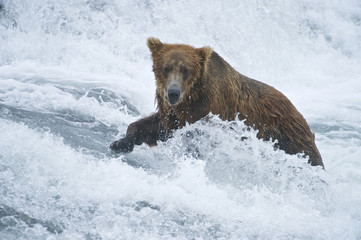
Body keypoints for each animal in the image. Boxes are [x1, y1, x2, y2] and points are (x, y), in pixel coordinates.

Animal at [110, 38, 324, 168]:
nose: (173, 93)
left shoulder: (210, 108)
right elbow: (157, 126)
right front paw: (120, 142)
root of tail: (300, 116)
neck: (193, 96)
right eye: (165, 68)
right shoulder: (174, 113)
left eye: (185, 70)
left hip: (289, 139)